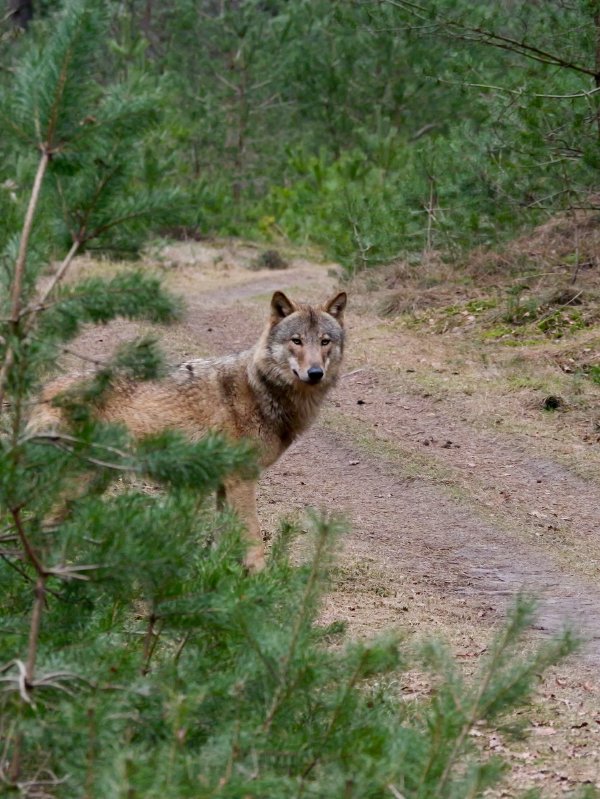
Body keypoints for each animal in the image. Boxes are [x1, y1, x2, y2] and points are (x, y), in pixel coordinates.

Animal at [32, 290, 347, 571]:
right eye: (296, 341)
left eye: (324, 342)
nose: (315, 373)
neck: (261, 388)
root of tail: (43, 391)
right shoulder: (241, 480)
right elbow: (253, 542)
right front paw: (261, 582)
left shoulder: (223, 483)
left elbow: (221, 540)